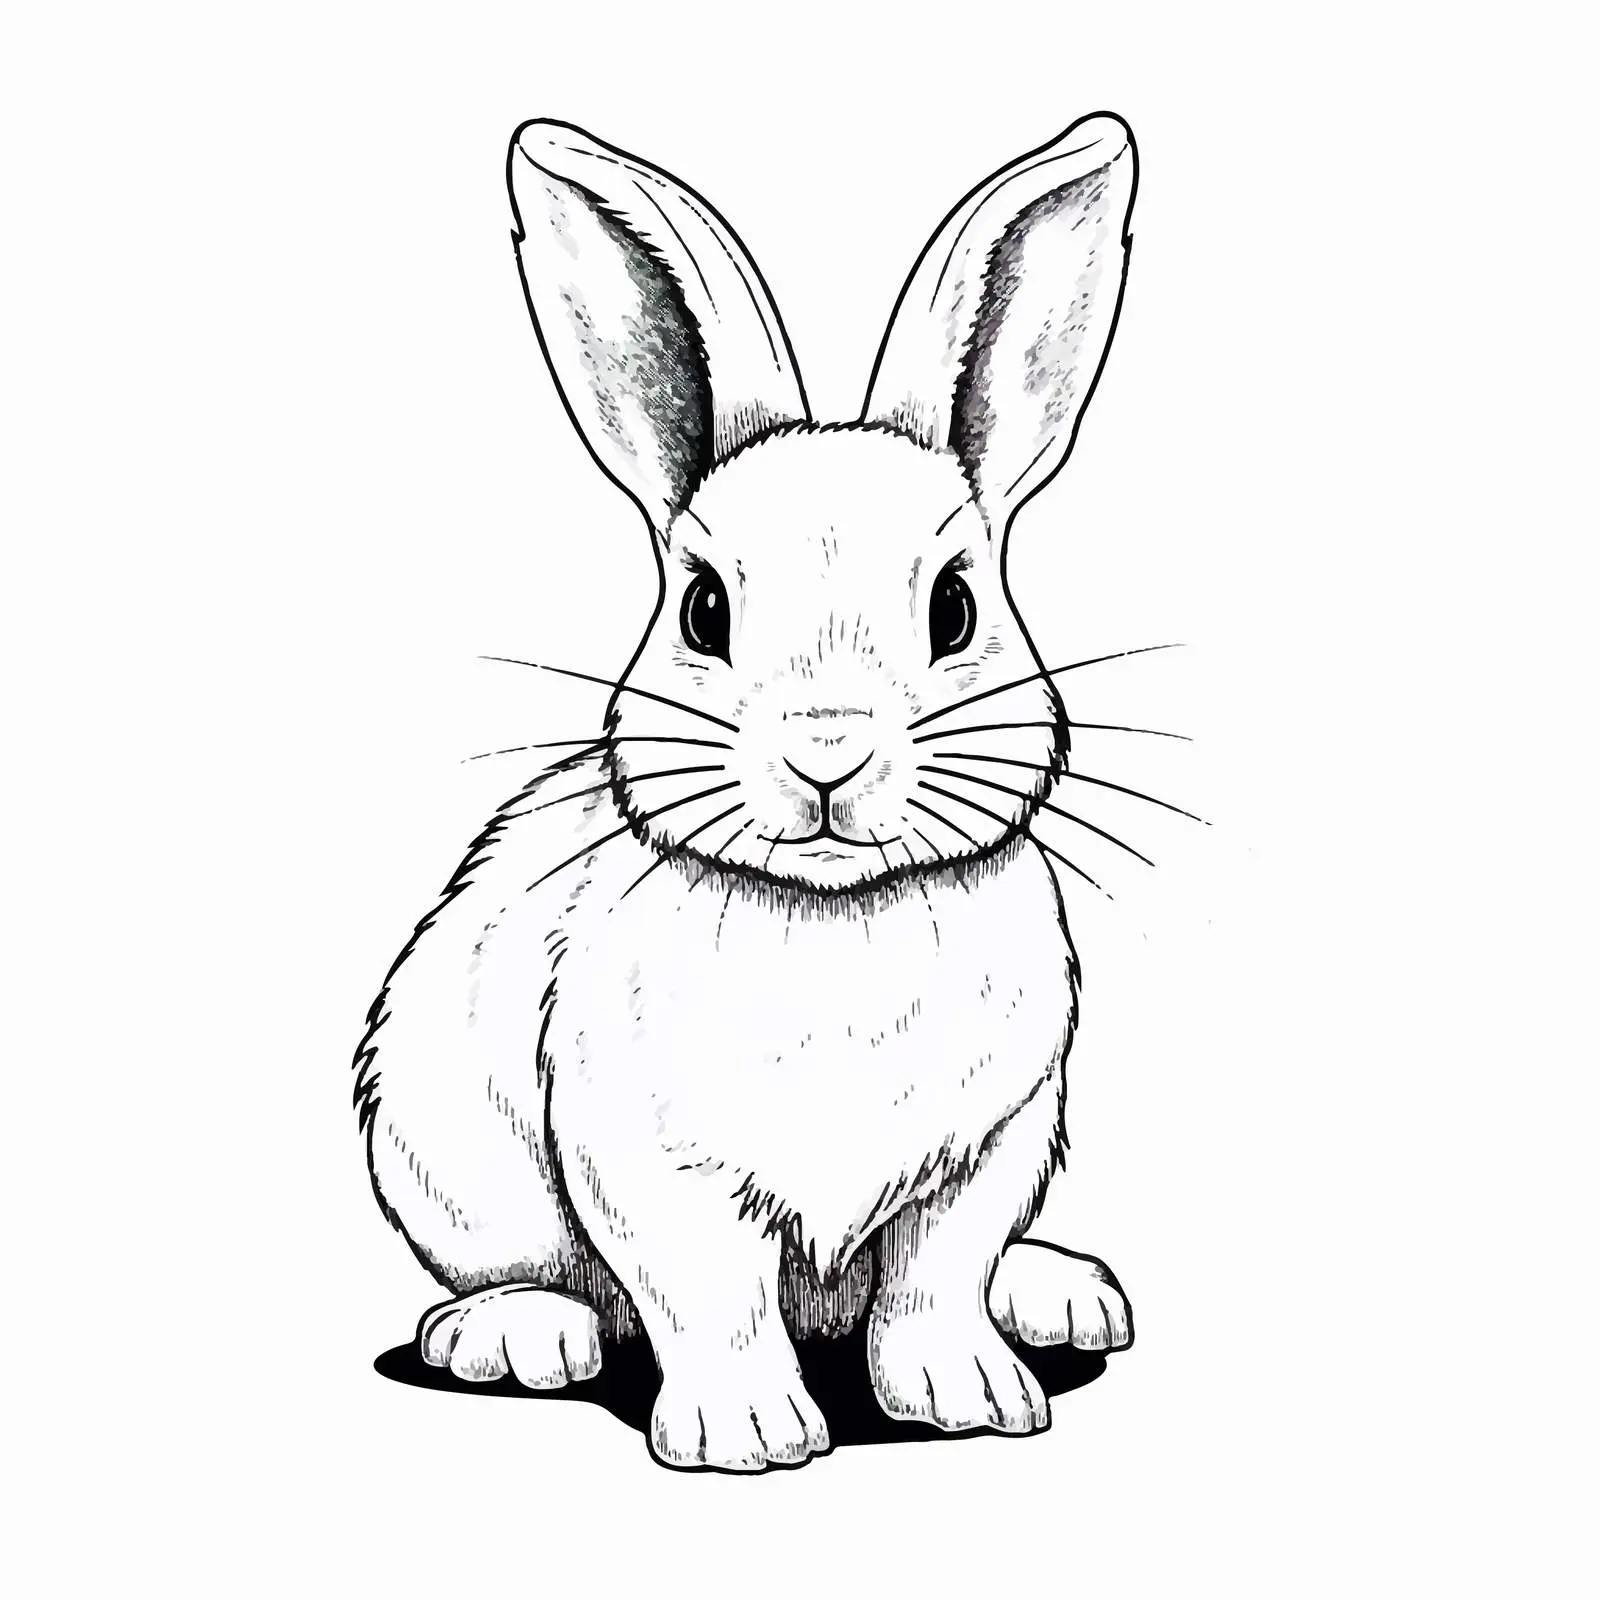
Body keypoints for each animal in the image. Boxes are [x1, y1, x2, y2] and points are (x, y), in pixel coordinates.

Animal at [353, 112, 1139, 1472]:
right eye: (703, 608)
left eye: (955, 607)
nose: (826, 751)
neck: (836, 915)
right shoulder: (644, 1156)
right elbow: (705, 1291)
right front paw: (748, 1434)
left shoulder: (989, 1145)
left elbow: (935, 1278)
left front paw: (972, 1398)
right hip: (437, 1146)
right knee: (525, 1275)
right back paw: (516, 1333)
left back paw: (1059, 1290)